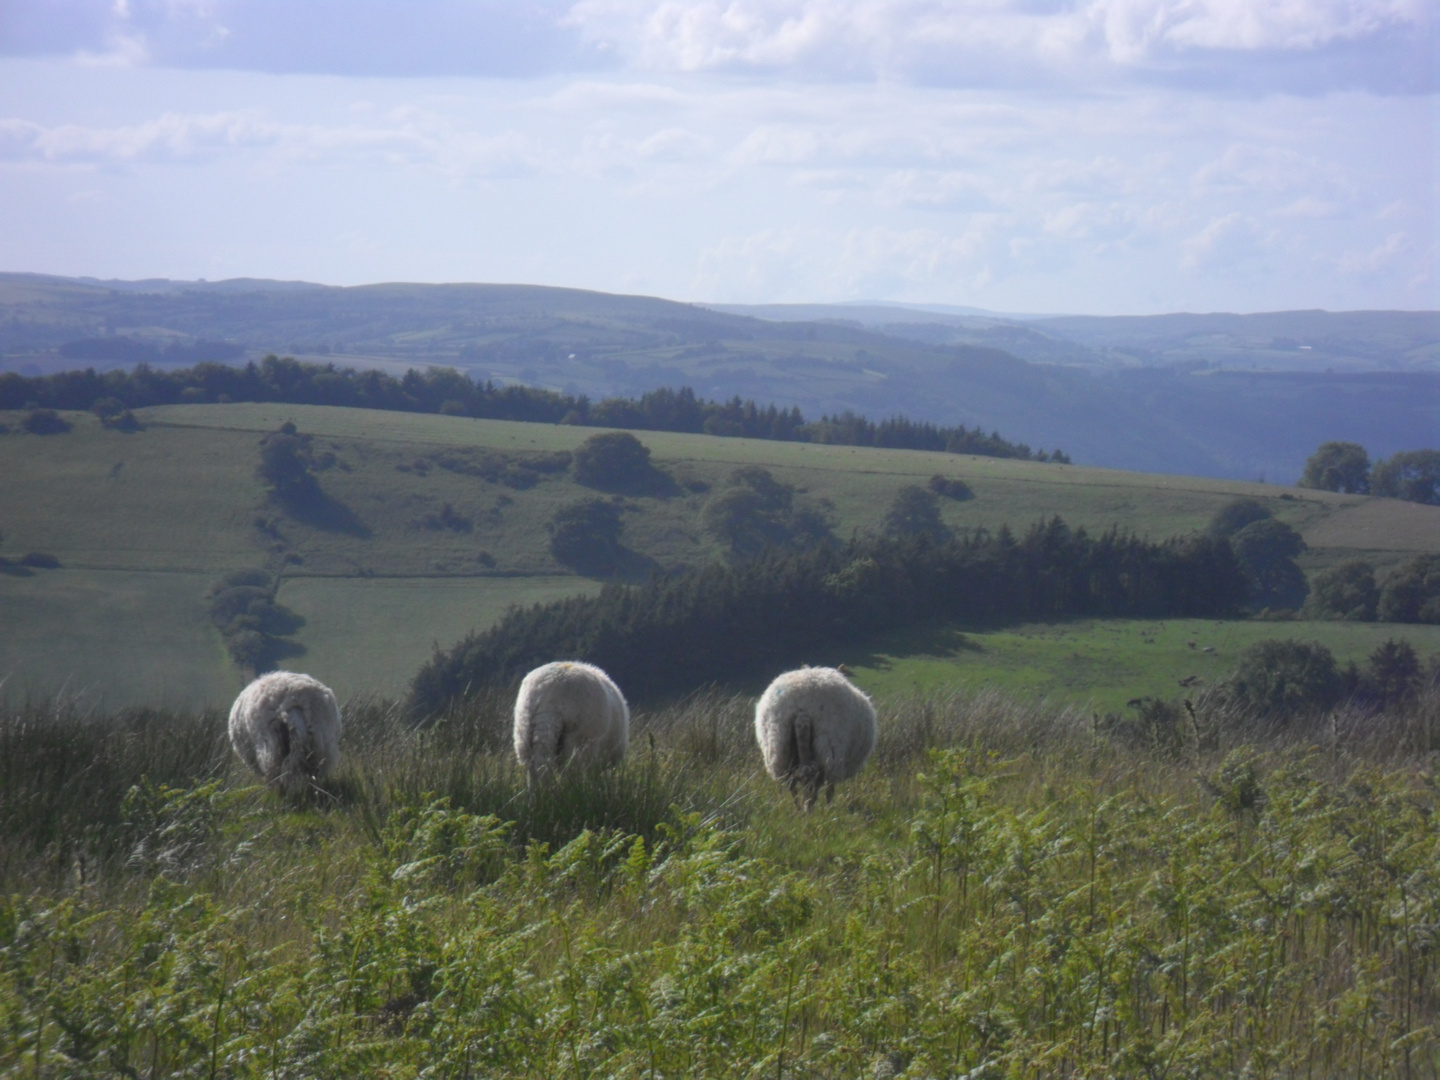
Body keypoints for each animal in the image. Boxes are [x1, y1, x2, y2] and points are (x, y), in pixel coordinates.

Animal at [754, 668, 875, 812]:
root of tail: (802, 707)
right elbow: (830, 789)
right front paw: (829, 809)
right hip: (830, 747)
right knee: (814, 779)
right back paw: (812, 809)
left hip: (780, 747)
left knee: (792, 780)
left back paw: (798, 809)